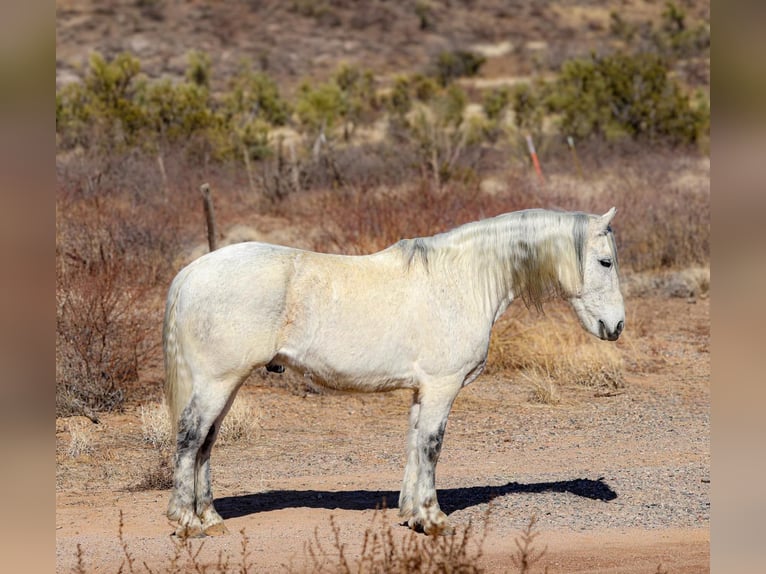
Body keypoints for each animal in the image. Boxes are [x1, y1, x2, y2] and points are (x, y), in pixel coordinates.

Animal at [163, 207, 625, 537]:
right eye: (605, 261)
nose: (616, 326)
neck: (463, 278)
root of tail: (192, 272)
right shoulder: (442, 386)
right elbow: (433, 446)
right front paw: (434, 520)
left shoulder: (422, 390)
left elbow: (414, 445)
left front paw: (412, 514)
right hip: (217, 382)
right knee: (191, 438)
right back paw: (186, 522)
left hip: (224, 385)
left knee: (206, 443)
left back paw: (209, 518)